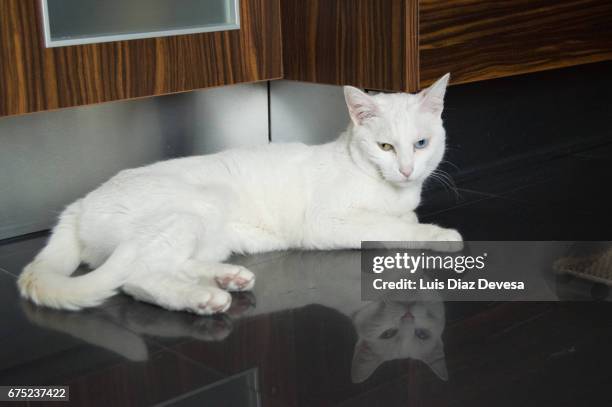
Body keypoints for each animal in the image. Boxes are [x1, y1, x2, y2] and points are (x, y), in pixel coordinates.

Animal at [17, 73, 460, 316]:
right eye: (385, 147)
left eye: (421, 144)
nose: (406, 169)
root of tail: (79, 203)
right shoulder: (327, 223)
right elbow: (392, 227)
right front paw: (440, 236)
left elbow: (403, 220)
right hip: (196, 208)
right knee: (136, 277)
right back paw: (203, 299)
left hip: (210, 235)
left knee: (159, 268)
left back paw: (225, 279)